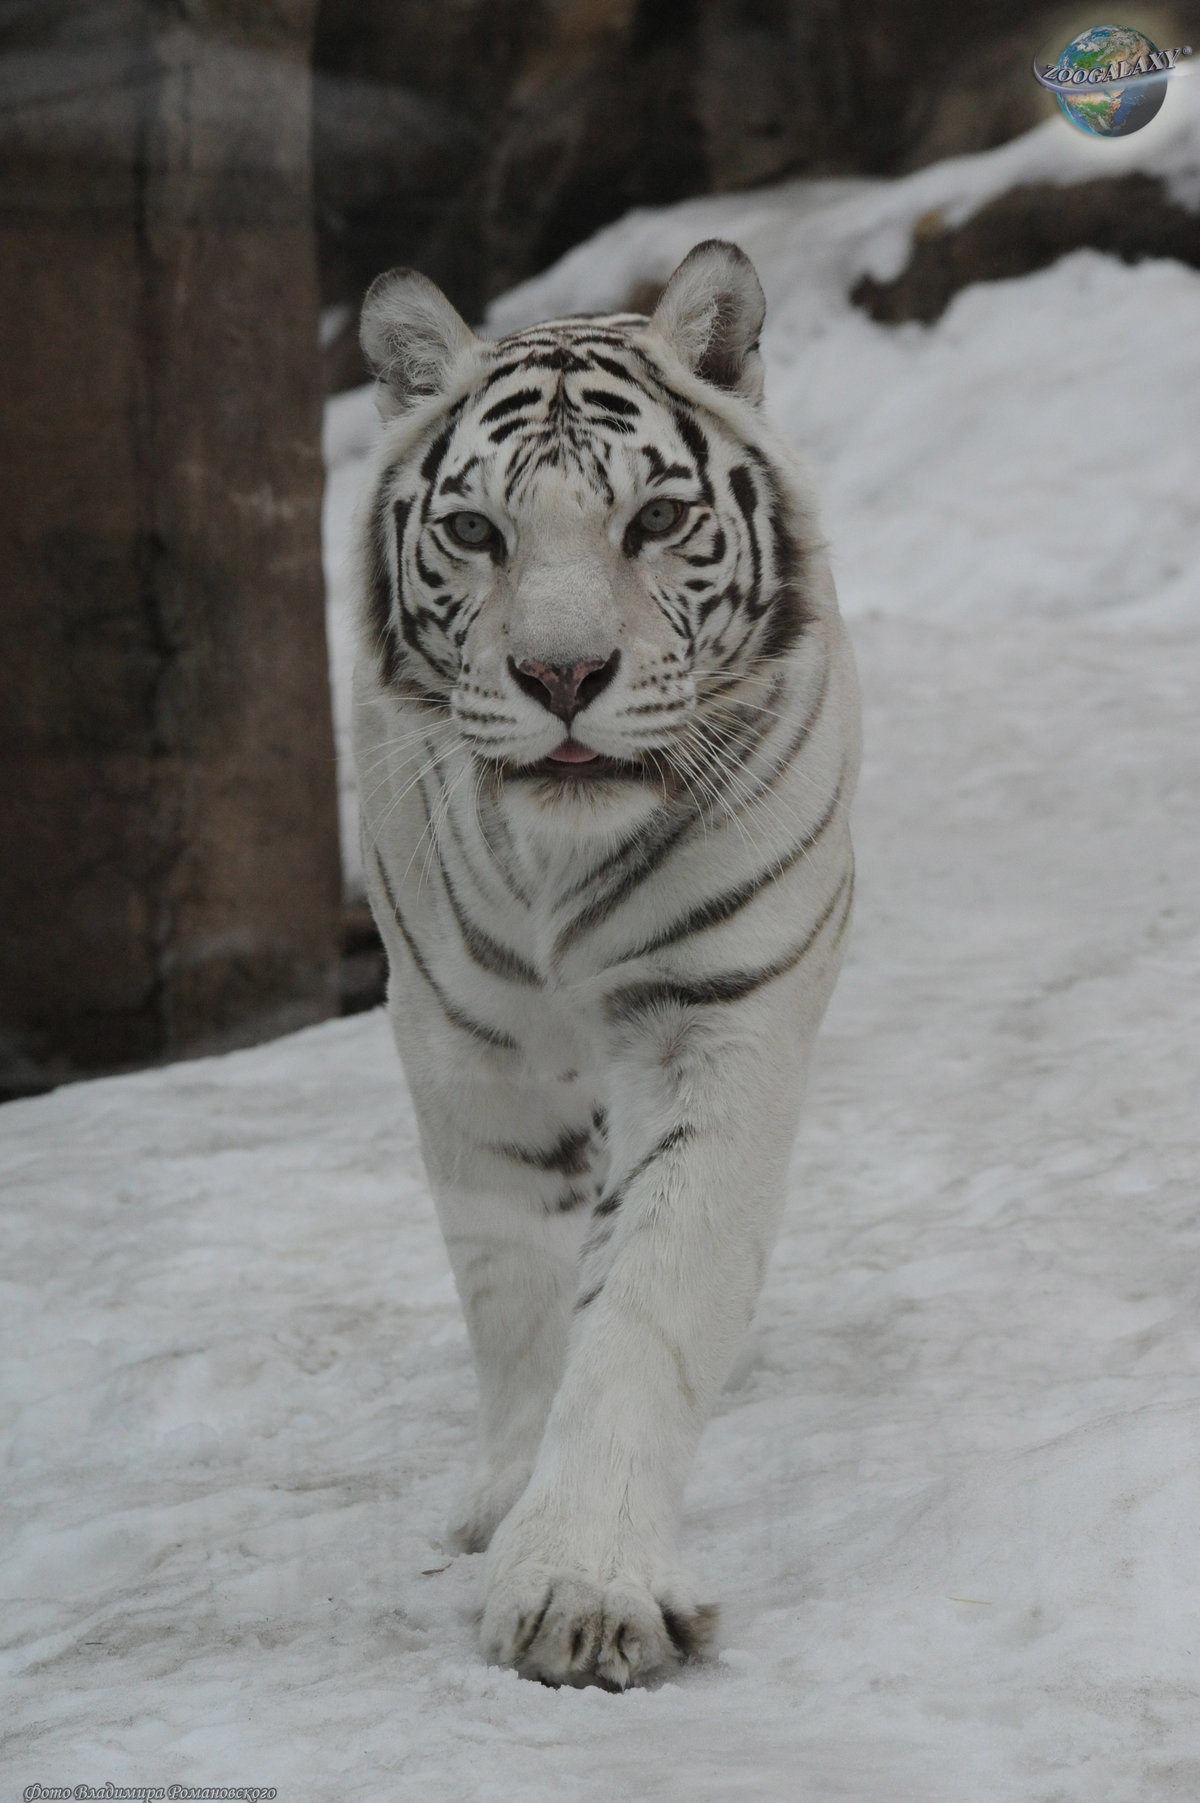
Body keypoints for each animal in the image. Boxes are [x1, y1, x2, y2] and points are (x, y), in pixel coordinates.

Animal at [352, 239, 860, 1690]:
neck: (559, 869)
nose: (563, 673)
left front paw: (582, 1585)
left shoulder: (716, 1016)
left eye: (656, 521)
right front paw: (513, 1501)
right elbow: (516, 1292)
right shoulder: (467, 1044)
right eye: (477, 532)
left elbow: (647, 1299)